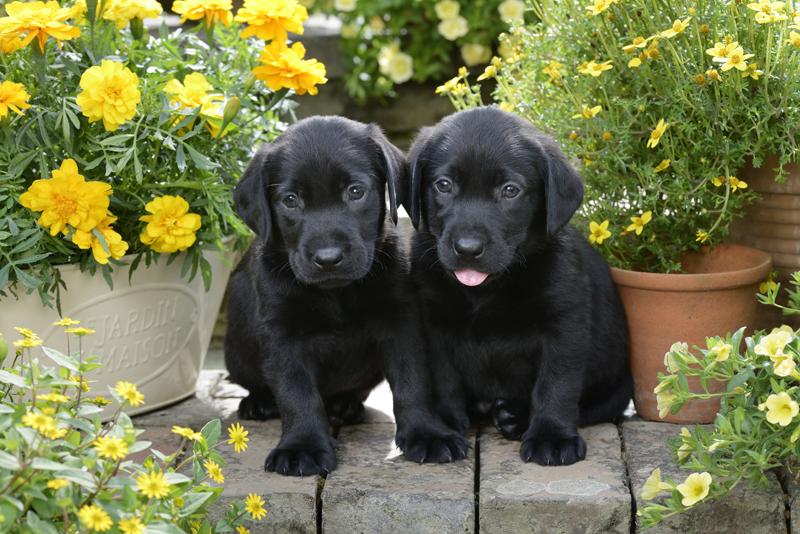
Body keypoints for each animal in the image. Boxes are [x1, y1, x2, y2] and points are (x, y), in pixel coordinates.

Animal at [225, 114, 468, 478]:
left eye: (356, 191)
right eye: (291, 200)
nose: (328, 258)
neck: (336, 293)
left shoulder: (400, 320)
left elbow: (412, 380)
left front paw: (426, 432)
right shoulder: (281, 334)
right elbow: (296, 392)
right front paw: (303, 446)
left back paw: (344, 406)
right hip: (235, 354)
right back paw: (259, 402)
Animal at [406, 109, 632, 468]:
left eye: (510, 190)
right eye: (444, 185)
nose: (468, 248)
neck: (487, 289)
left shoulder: (565, 326)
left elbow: (556, 385)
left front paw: (552, 436)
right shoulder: (432, 322)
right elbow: (443, 379)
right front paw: (442, 427)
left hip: (616, 388)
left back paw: (515, 416)